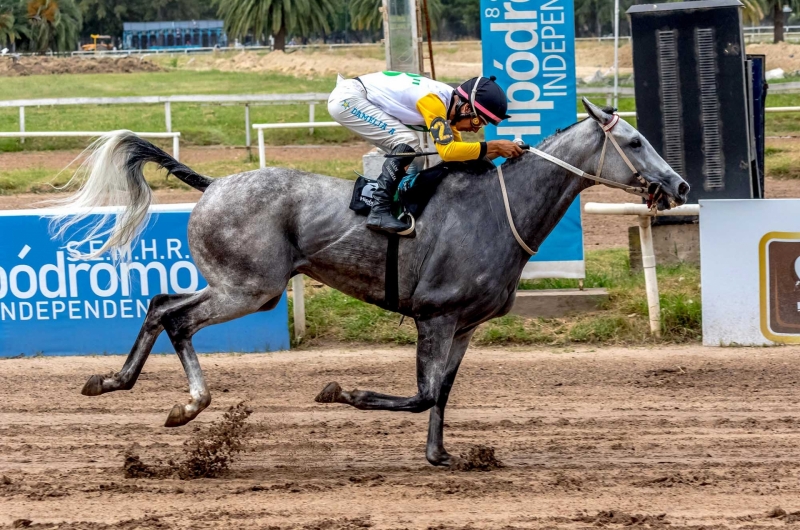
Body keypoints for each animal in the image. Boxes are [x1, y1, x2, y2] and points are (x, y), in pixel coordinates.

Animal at [57, 98, 688, 462]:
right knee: (178, 318)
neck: (496, 210)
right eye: (635, 142)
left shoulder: (464, 326)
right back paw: (187, 404)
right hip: (251, 289)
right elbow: (422, 392)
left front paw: (440, 456)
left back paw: (113, 382)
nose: (679, 186)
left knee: (161, 302)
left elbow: (442, 392)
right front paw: (344, 392)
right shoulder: (435, 316)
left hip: (240, 286)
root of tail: (214, 185)